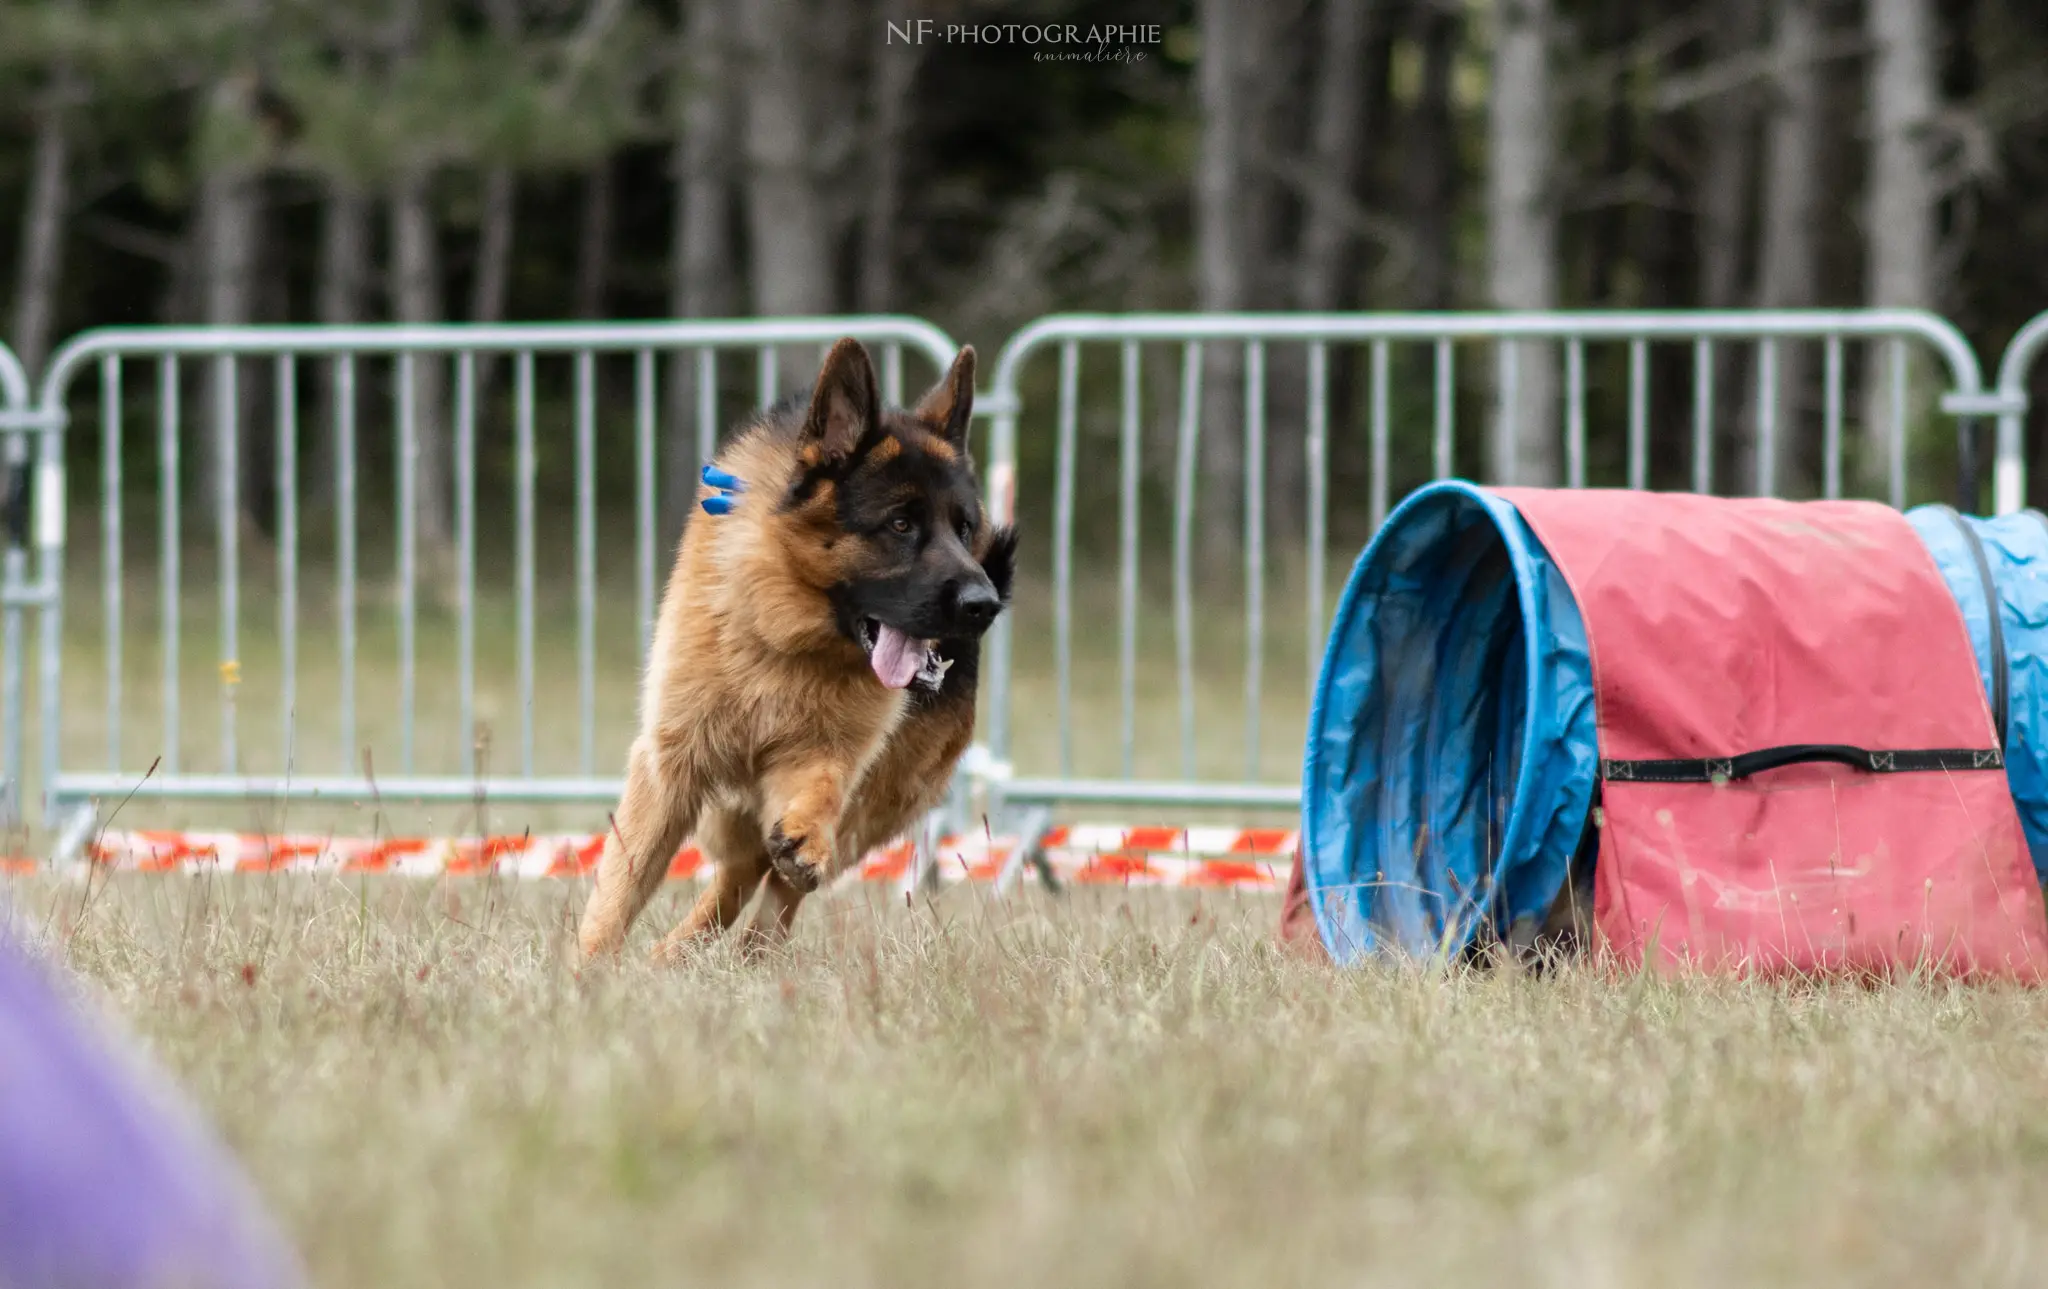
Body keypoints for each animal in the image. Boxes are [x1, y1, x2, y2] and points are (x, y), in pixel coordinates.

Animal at [577, 336, 1015, 959]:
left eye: (964, 528)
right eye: (900, 524)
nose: (984, 605)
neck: (785, 635)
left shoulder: (829, 756)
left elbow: (822, 788)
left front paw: (806, 836)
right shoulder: (671, 765)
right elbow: (622, 883)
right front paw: (586, 971)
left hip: (868, 804)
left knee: (769, 885)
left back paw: (744, 950)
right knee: (739, 872)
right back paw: (678, 955)